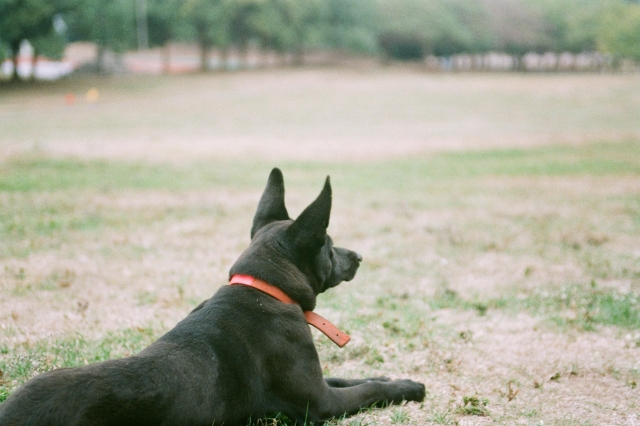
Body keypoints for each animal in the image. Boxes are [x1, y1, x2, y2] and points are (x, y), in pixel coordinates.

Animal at [0, 168, 424, 424]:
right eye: (330, 246)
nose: (359, 257)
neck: (265, 289)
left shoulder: (320, 383)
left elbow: (351, 377)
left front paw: (389, 374)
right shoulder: (319, 403)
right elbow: (368, 390)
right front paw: (406, 388)